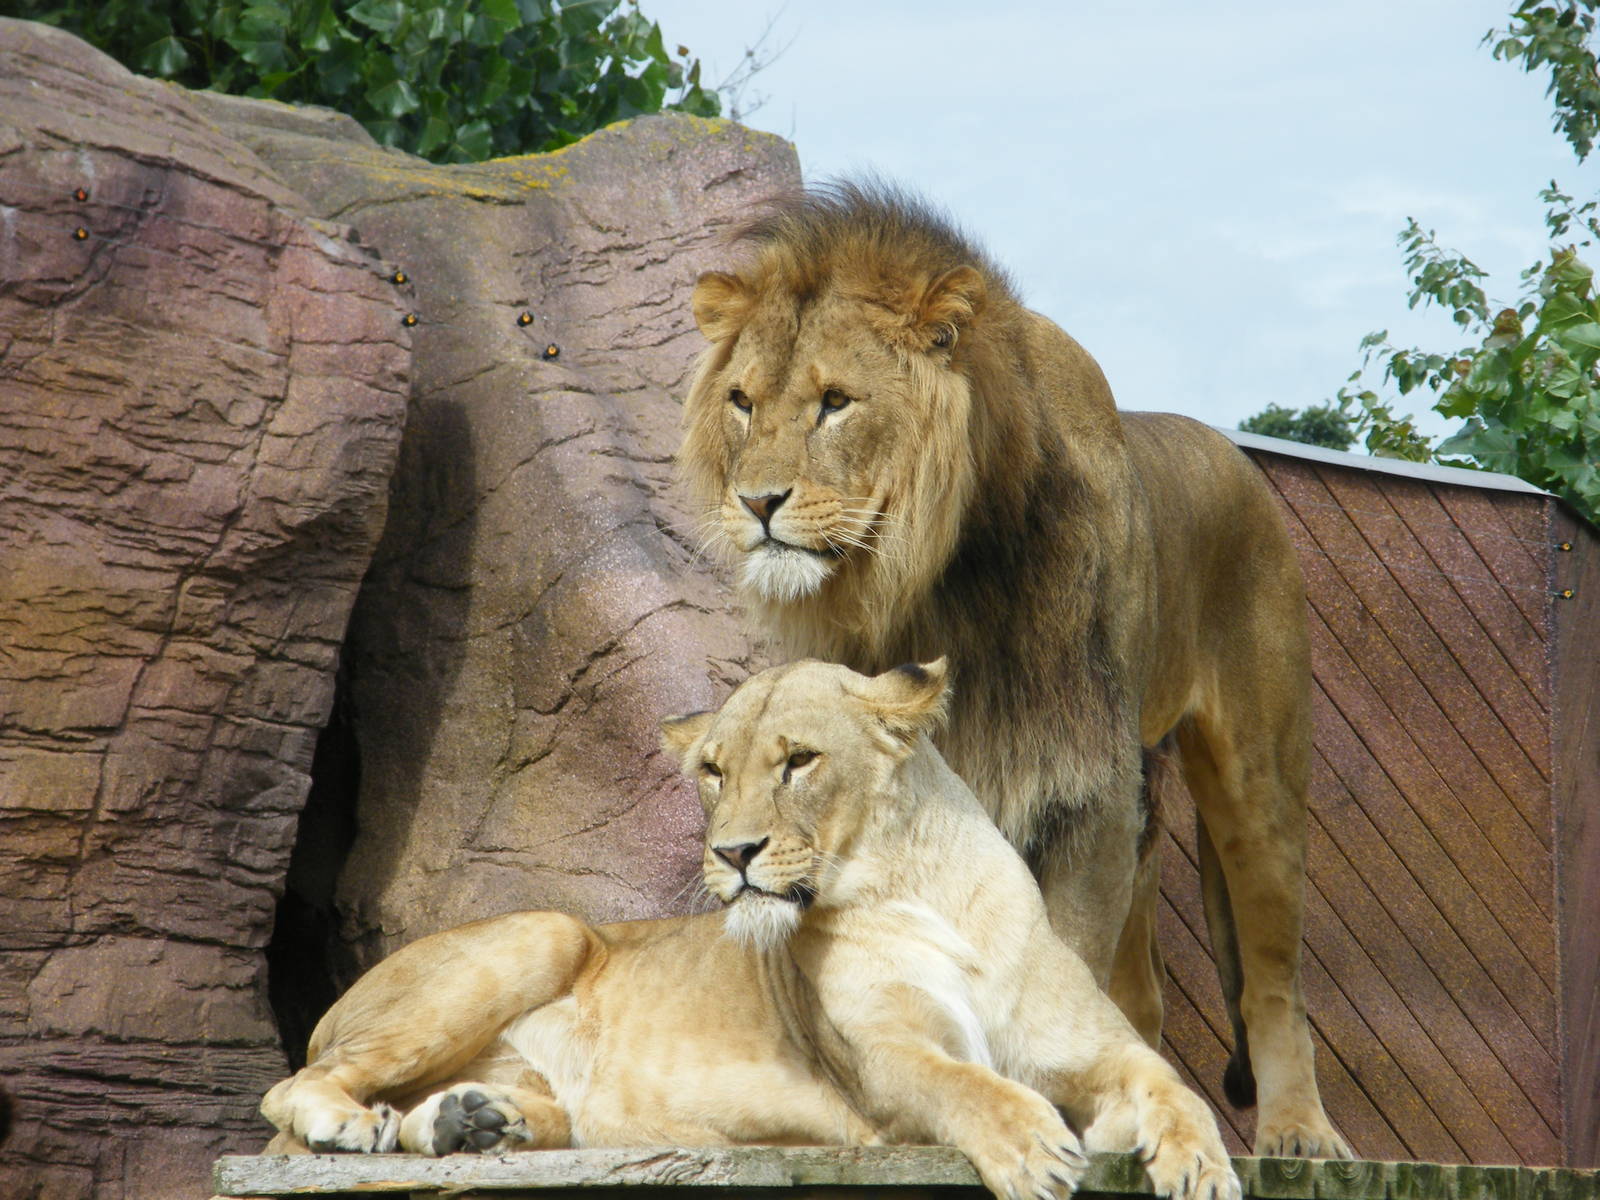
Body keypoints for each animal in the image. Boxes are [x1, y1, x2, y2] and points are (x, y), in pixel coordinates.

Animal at [260, 659, 1240, 1200]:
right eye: (712, 771)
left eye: (799, 761)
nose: (731, 852)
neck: (916, 885)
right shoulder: (880, 1065)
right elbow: (961, 1082)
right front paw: (1033, 1149)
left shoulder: (1092, 1046)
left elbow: (1171, 1083)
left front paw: (1203, 1166)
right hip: (546, 928)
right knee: (289, 1092)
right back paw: (350, 1123)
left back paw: (470, 1122)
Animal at [676, 182, 1349, 1159]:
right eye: (740, 401)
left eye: (835, 402)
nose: (755, 503)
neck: (938, 577)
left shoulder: (1082, 785)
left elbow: (1057, 961)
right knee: (1143, 992)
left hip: (1257, 779)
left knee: (1272, 977)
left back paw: (1300, 1133)